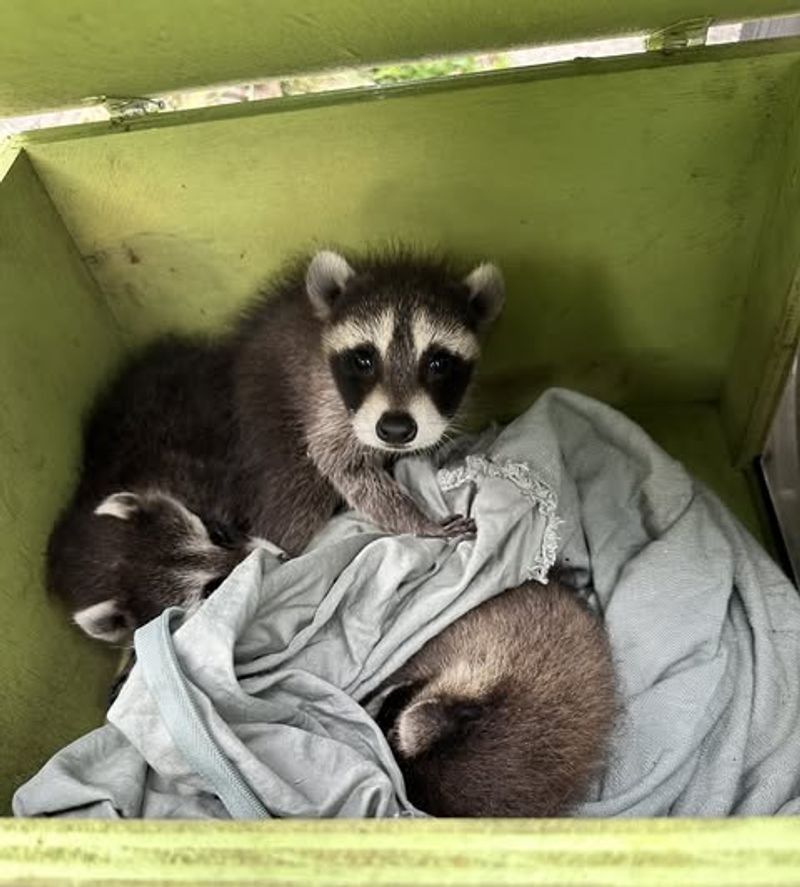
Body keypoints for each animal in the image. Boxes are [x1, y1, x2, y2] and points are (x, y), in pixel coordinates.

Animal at [233, 247, 505, 554]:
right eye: (363, 360)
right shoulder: (324, 400)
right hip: (267, 409)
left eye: (439, 363)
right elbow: (343, 465)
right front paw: (417, 520)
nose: (396, 429)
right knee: (296, 496)